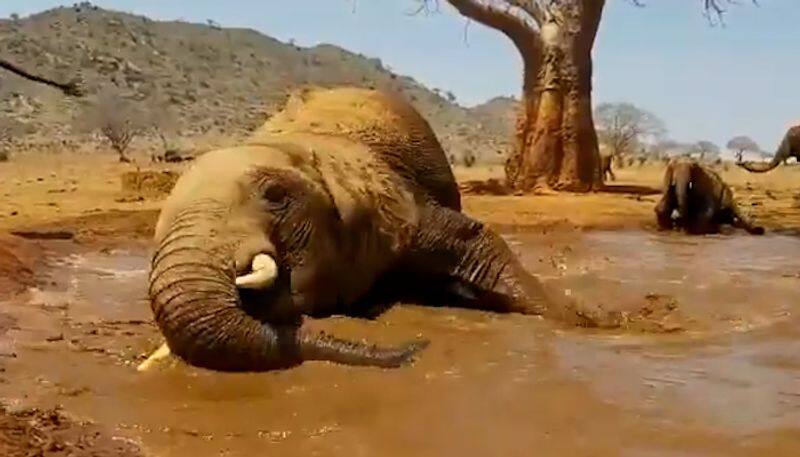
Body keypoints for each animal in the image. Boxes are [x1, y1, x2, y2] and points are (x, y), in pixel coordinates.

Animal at [138, 87, 600, 372]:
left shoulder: (397, 205)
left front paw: (591, 321)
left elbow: (478, 242)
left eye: (275, 194)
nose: (417, 348)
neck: (303, 148)